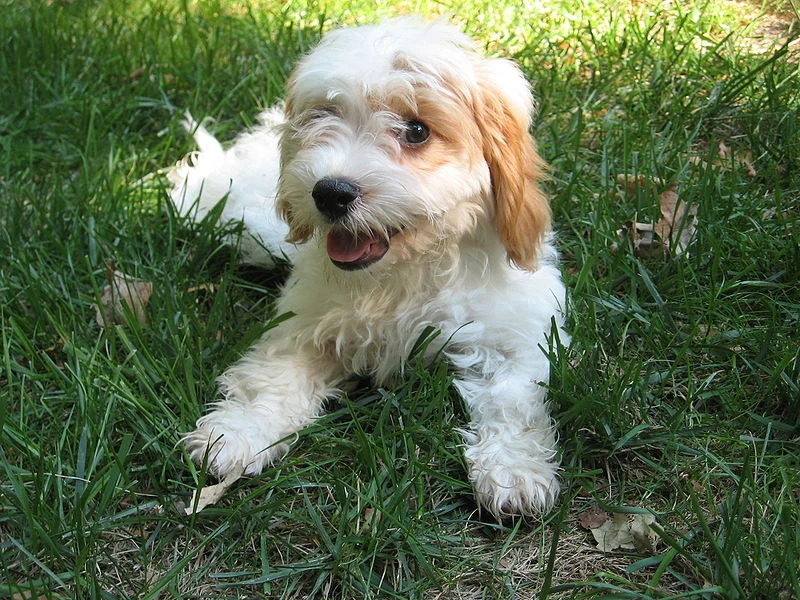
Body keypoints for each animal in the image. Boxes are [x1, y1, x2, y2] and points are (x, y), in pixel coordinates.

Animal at [169, 17, 568, 516]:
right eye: (323, 115)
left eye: (416, 130)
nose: (330, 193)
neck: (406, 271)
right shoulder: (305, 324)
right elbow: (274, 378)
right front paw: (237, 433)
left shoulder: (511, 335)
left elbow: (512, 402)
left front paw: (515, 471)